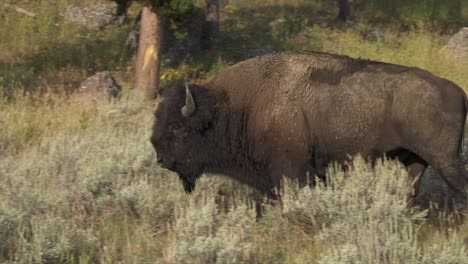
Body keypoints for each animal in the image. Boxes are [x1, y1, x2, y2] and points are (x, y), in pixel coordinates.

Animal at [151, 50, 468, 201]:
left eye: (178, 128)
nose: (160, 159)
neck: (231, 106)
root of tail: (457, 90)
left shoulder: (292, 171)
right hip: (413, 159)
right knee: (412, 186)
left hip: (446, 160)